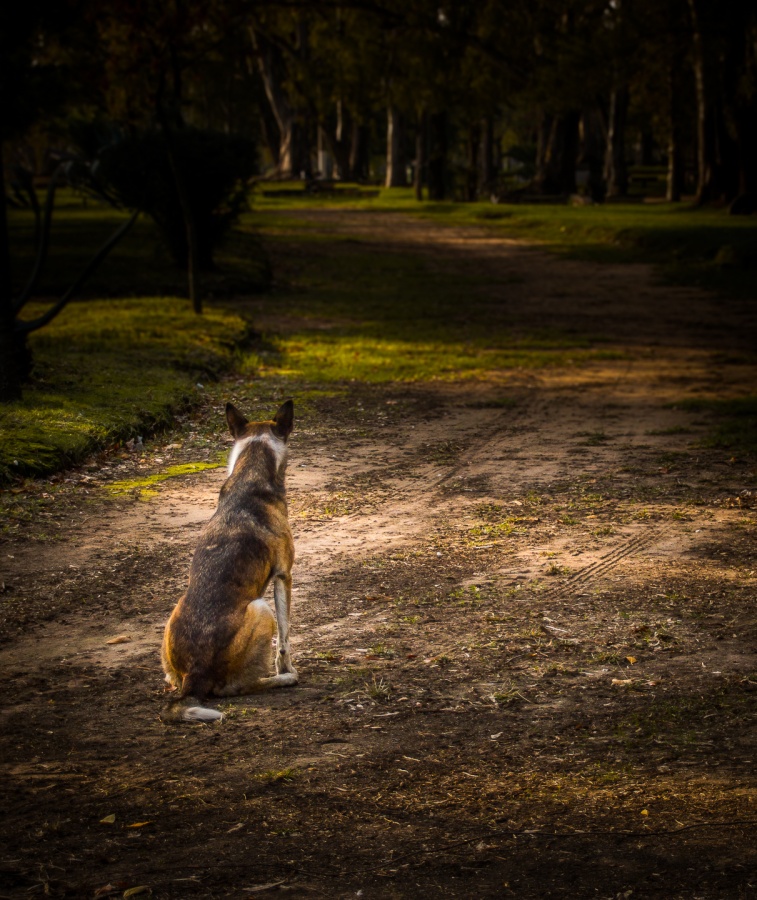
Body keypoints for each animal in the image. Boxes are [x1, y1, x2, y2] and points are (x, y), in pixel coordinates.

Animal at [161, 400, 296, 724]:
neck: (250, 472)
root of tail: (194, 675)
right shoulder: (284, 575)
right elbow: (284, 640)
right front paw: (286, 669)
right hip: (261, 610)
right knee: (235, 688)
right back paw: (283, 680)